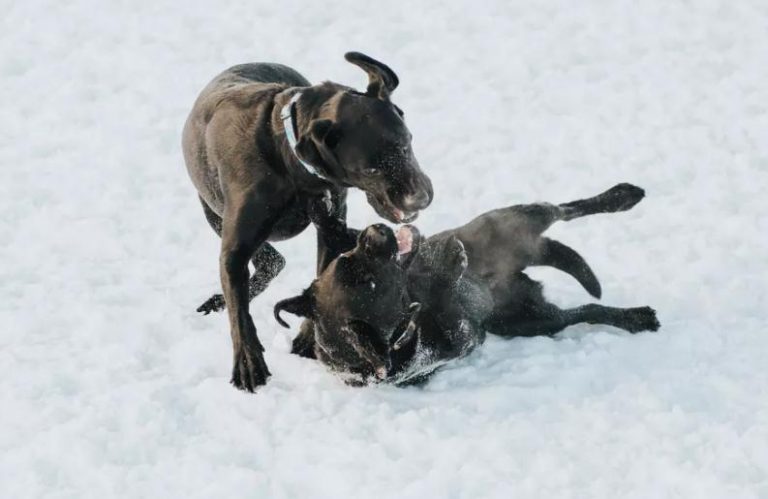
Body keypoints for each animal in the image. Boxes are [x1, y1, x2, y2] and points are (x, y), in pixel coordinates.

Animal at [180, 53, 432, 390]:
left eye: (407, 144)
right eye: (370, 170)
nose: (420, 199)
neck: (287, 161)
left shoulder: (331, 227)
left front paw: (307, 338)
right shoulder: (234, 247)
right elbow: (239, 310)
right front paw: (248, 362)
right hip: (212, 212)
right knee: (269, 262)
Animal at [274, 184, 660, 382]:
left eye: (346, 259)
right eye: (367, 281)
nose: (374, 230)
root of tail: (526, 256)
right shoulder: (464, 335)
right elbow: (449, 302)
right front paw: (450, 265)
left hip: (512, 217)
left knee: (566, 207)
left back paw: (623, 195)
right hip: (536, 320)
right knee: (588, 309)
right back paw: (636, 316)